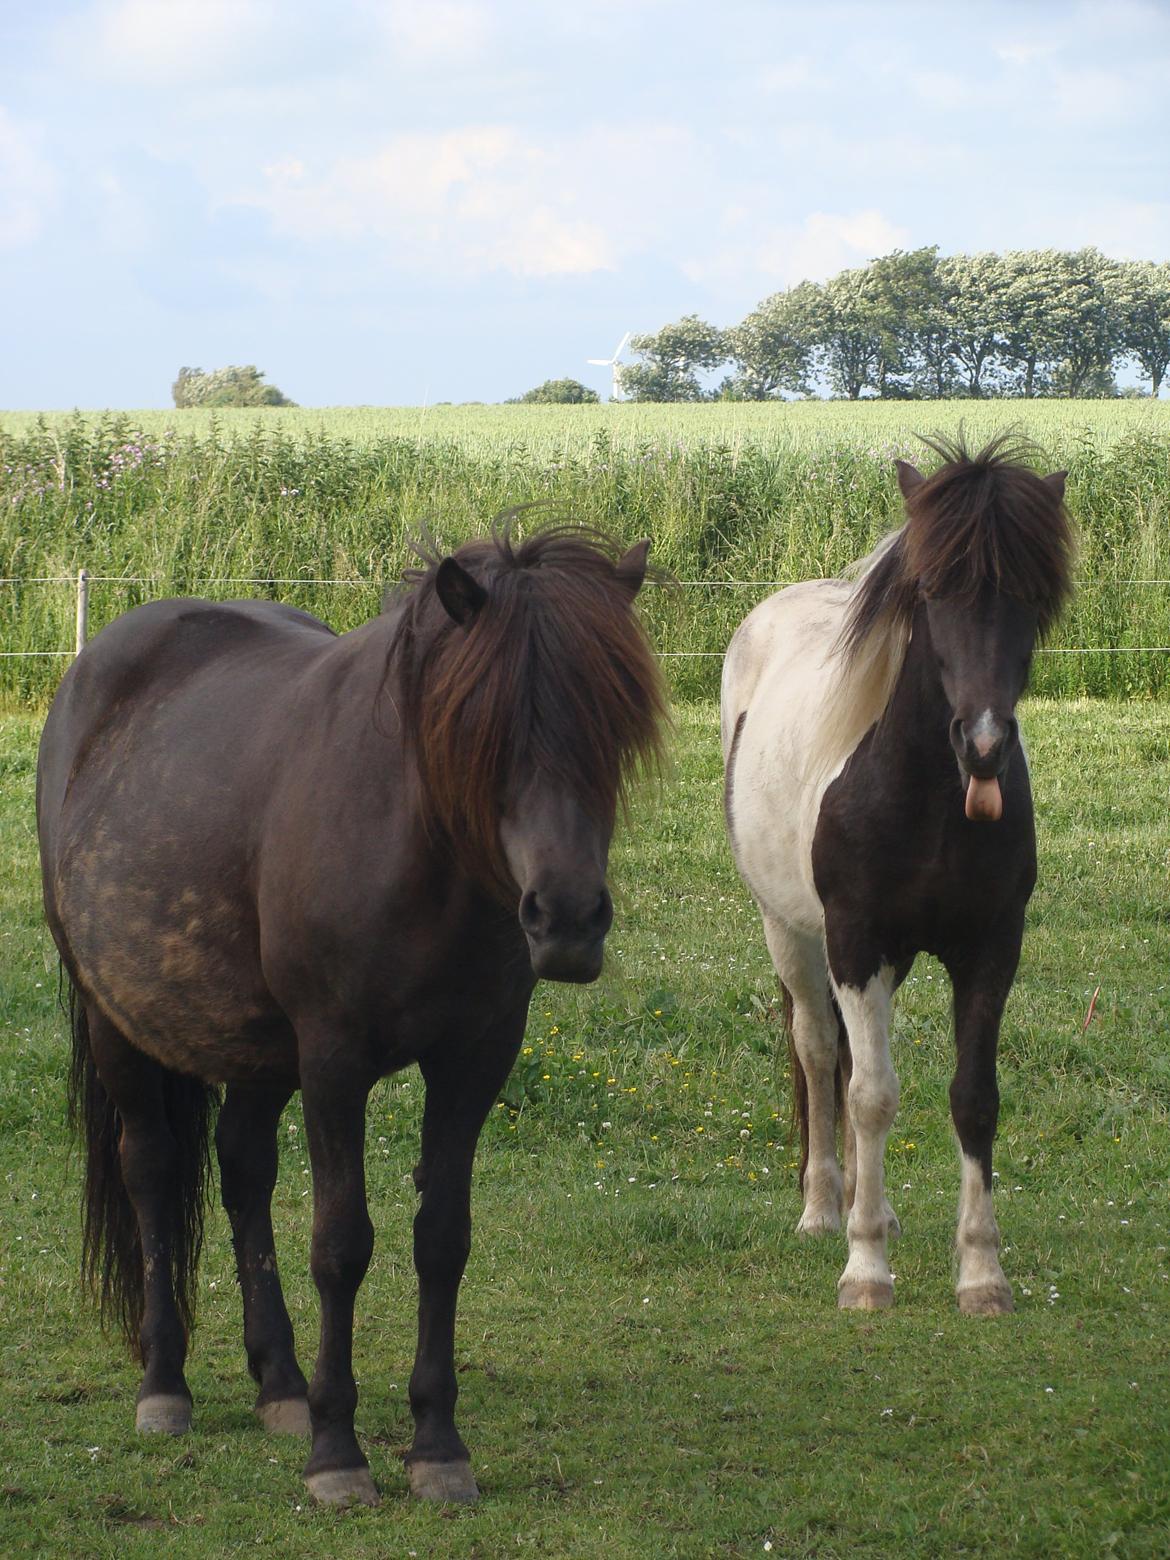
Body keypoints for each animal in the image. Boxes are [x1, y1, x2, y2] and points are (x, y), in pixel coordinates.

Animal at [39, 517, 667, 1503]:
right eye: (483, 728)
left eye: (613, 723)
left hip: (257, 1046)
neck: (415, 847)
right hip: (121, 1022)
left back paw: (280, 1383)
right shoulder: (334, 1060)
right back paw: (166, 1384)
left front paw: (437, 1443)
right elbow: (342, 1243)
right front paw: (339, 1453)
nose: (566, 919)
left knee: (243, 1169)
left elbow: (442, 1238)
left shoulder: (476, 1057)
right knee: (152, 1172)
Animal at [730, 439, 1079, 1316]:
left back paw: (872, 1206)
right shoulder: (855, 941)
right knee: (821, 1052)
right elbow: (869, 1095)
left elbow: (974, 1099)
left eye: (1030, 595)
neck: (925, 798)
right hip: (791, 931)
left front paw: (982, 1272)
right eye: (930, 590)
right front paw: (865, 1270)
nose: (983, 746)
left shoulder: (990, 947)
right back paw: (826, 1209)